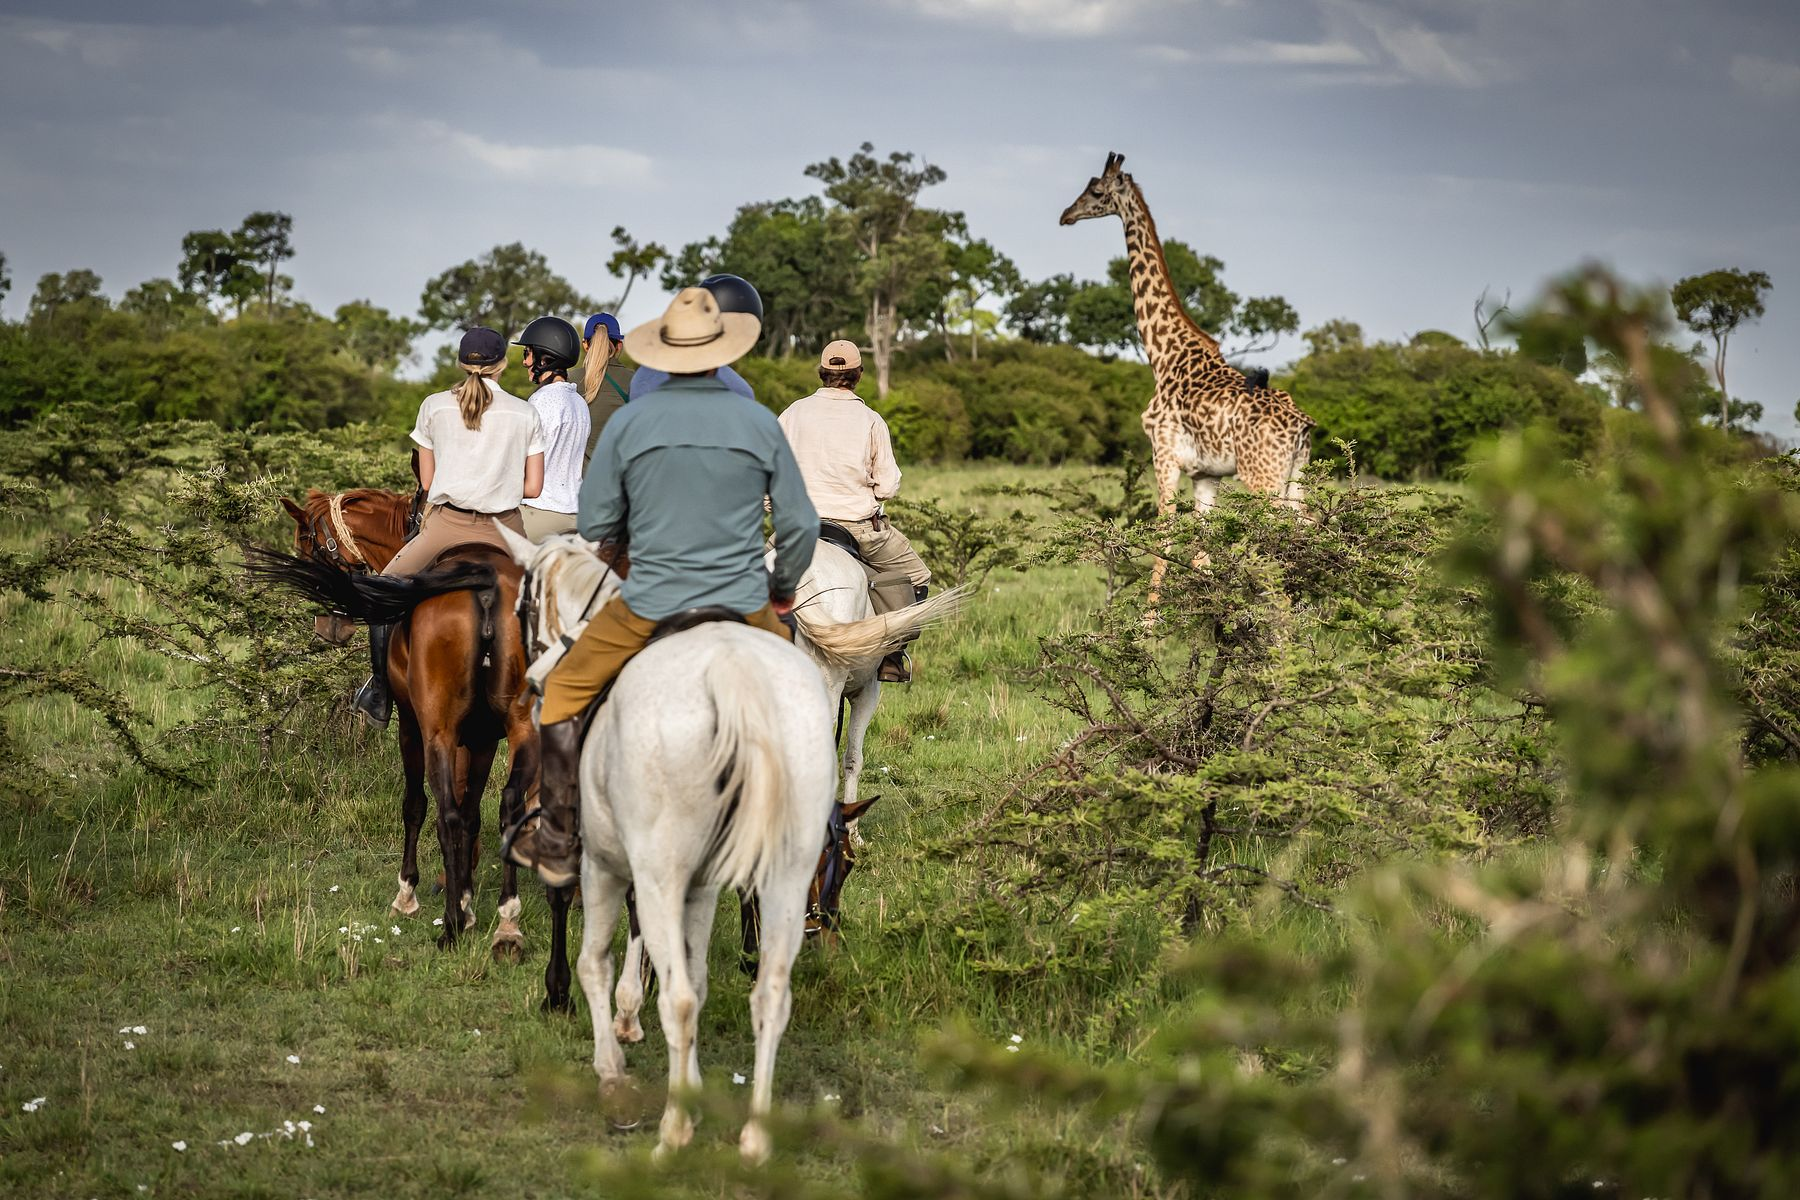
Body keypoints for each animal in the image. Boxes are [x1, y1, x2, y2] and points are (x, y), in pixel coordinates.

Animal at [1060, 151, 1313, 609]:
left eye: (1096, 191)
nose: (1065, 215)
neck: (1163, 353)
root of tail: (1302, 424)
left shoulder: (1163, 454)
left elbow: (1164, 536)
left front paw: (1150, 620)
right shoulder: (1205, 475)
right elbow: (1202, 552)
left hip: (1264, 479)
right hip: (1295, 478)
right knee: (1308, 531)